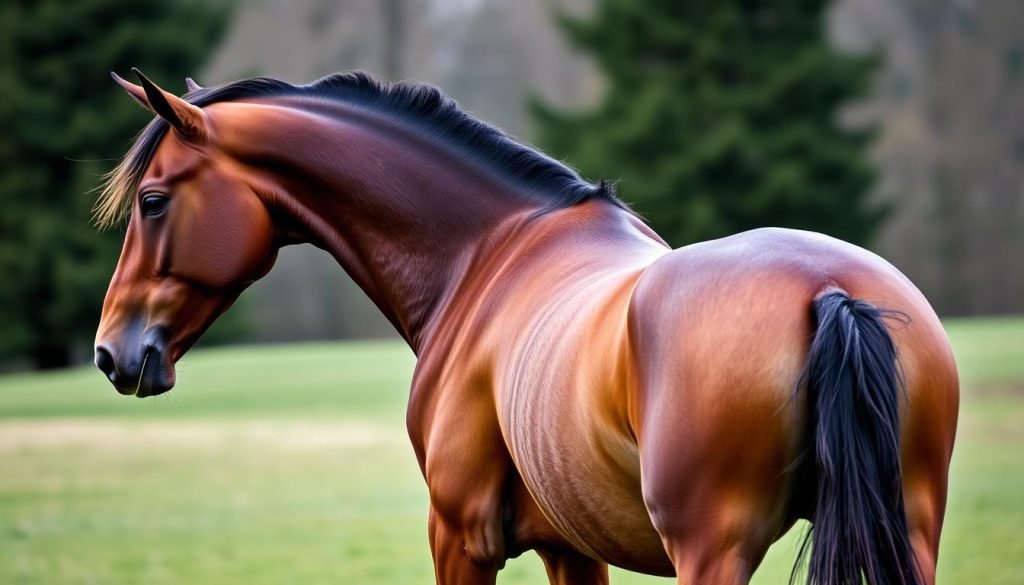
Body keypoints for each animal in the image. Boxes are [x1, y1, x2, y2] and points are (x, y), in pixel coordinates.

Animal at [93, 69, 958, 585]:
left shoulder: (459, 537)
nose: (111, 352)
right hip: (908, 532)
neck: (490, 250)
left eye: (154, 201)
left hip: (714, 551)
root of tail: (829, 289)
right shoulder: (570, 546)